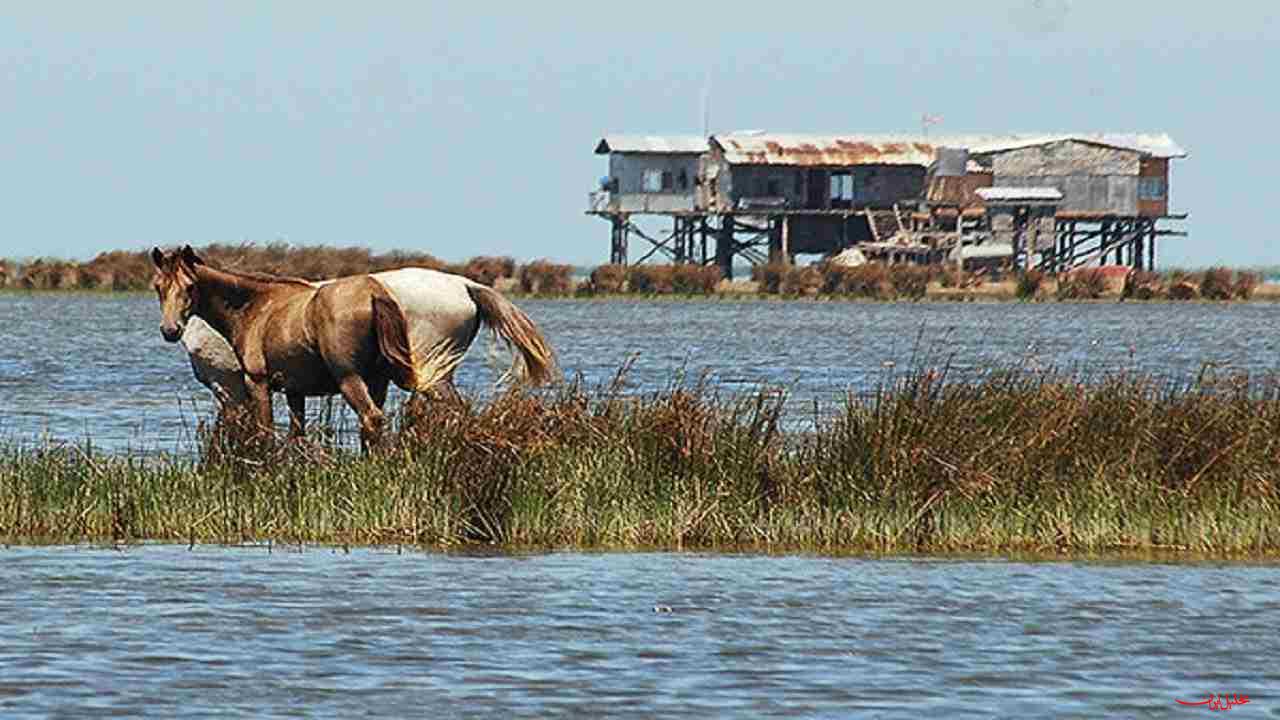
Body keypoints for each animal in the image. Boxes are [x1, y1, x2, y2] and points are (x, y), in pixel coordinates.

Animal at [148, 245, 555, 448]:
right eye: (157, 286)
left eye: (189, 287)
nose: (169, 329)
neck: (258, 306)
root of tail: (466, 286)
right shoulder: (294, 389)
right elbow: (296, 435)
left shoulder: (246, 385)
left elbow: (260, 433)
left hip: (406, 377)